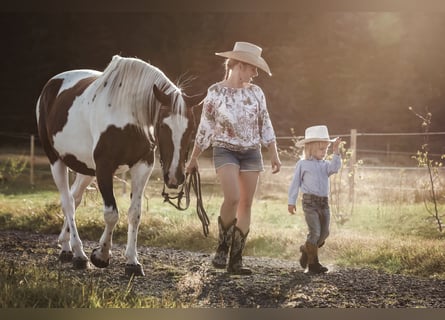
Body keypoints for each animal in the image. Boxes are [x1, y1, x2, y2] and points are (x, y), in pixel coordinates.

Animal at [36, 55, 203, 276]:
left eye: (192, 128)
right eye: (162, 126)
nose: (175, 178)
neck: (128, 114)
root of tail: (51, 85)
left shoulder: (142, 166)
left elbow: (135, 214)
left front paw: (132, 262)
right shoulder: (104, 168)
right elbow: (111, 214)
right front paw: (101, 255)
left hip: (86, 169)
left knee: (75, 198)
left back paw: (66, 247)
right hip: (56, 161)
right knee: (68, 203)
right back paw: (79, 254)